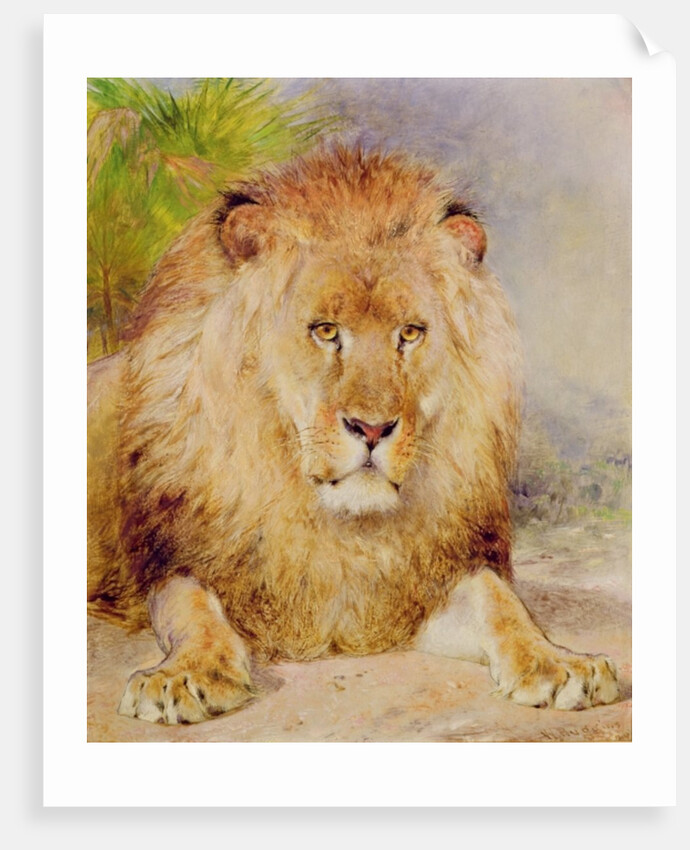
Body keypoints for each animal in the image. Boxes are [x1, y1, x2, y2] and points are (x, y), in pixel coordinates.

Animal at [87, 145, 620, 725]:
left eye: (409, 333)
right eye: (325, 331)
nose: (372, 428)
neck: (340, 524)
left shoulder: (419, 584)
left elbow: (501, 604)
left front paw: (558, 663)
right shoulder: (180, 562)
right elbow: (193, 610)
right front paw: (183, 677)